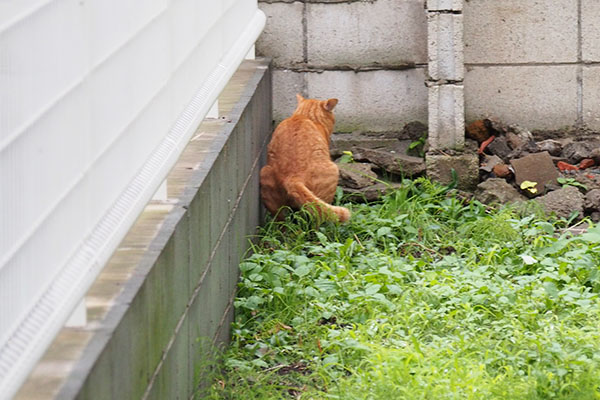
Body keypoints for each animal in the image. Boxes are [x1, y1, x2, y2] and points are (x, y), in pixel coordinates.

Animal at [258, 95, 352, 223]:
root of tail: (292, 178)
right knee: (319, 217)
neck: (305, 116)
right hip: (333, 171)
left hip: (266, 178)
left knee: (282, 220)